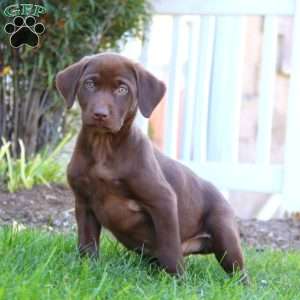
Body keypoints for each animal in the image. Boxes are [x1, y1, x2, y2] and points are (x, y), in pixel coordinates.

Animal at [55, 52, 246, 278]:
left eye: (122, 89)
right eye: (90, 84)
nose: (100, 114)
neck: (104, 147)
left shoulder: (163, 200)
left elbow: (169, 245)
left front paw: (177, 279)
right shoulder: (84, 202)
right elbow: (87, 242)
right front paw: (87, 269)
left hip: (224, 232)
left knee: (238, 270)